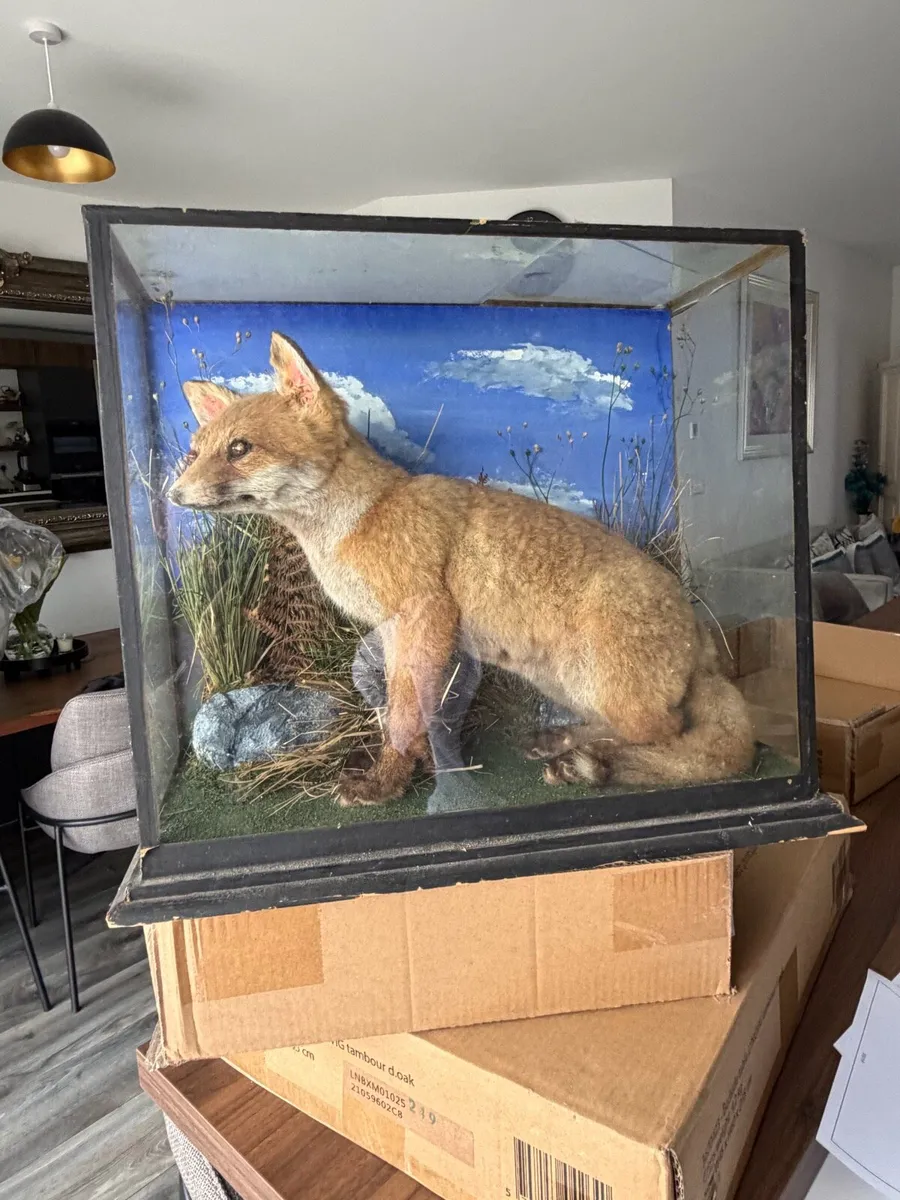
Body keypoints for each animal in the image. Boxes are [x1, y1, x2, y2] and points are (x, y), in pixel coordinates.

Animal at [169, 331, 754, 808]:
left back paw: (587, 764)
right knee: (632, 730)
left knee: (676, 738)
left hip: (609, 680)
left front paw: (387, 783)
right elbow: (404, 709)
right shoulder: (396, 631)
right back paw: (565, 746)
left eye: (239, 449)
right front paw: (425, 765)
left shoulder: (425, 614)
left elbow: (405, 714)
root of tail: (702, 631)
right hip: (570, 681)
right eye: (195, 453)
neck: (360, 521)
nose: (172, 494)